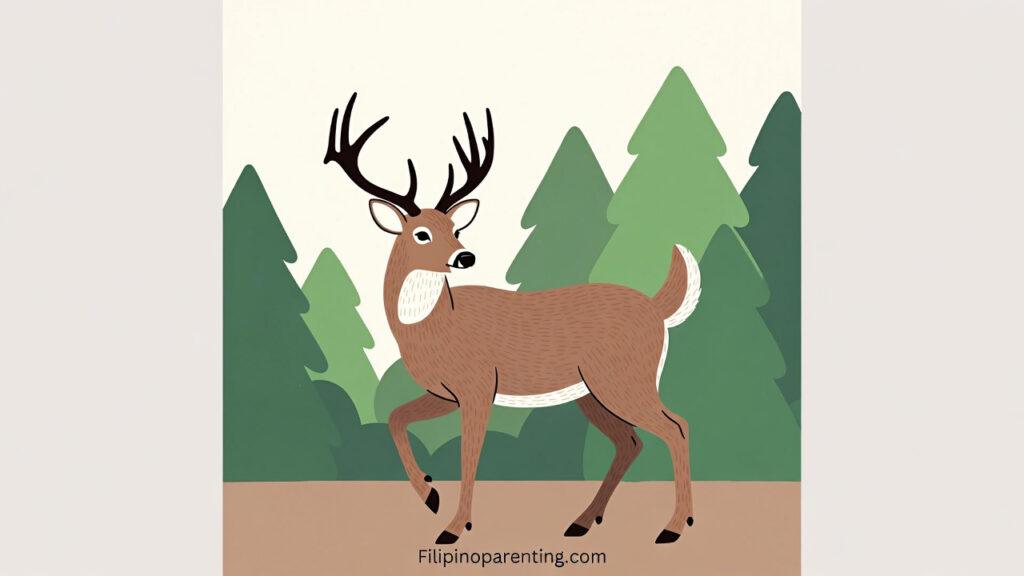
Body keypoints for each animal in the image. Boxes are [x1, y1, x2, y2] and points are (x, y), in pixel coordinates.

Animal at [324, 93, 702, 545]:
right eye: (421, 233)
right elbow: (396, 418)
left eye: (455, 228)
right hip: (592, 392)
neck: (436, 326)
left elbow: (469, 456)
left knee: (676, 426)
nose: (465, 256)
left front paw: (454, 527)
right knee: (631, 442)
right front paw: (429, 494)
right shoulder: (443, 392)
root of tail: (657, 308)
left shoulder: (477, 385)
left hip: (625, 379)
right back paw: (581, 521)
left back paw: (674, 527)